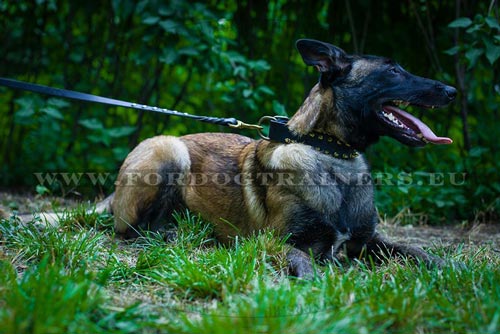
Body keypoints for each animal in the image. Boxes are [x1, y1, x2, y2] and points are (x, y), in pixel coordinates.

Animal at [18, 38, 458, 276]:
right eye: (394, 70)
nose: (452, 90)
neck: (329, 152)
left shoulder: (367, 241)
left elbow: (416, 251)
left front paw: (451, 267)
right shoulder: (274, 241)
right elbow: (302, 258)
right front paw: (315, 278)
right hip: (167, 148)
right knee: (128, 230)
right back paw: (178, 236)